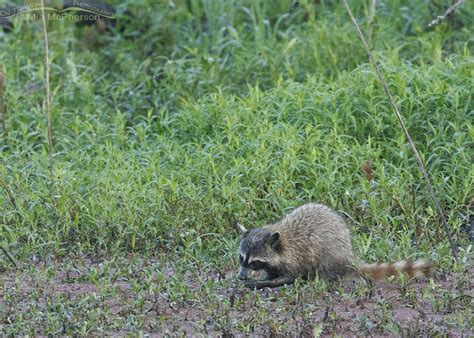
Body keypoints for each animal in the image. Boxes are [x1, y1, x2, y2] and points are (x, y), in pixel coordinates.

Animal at [237, 202, 434, 290]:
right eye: (241, 258)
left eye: (254, 262)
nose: (240, 276)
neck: (282, 243)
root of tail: (348, 256)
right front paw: (264, 278)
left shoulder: (295, 257)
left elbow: (289, 277)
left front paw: (262, 282)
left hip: (326, 252)